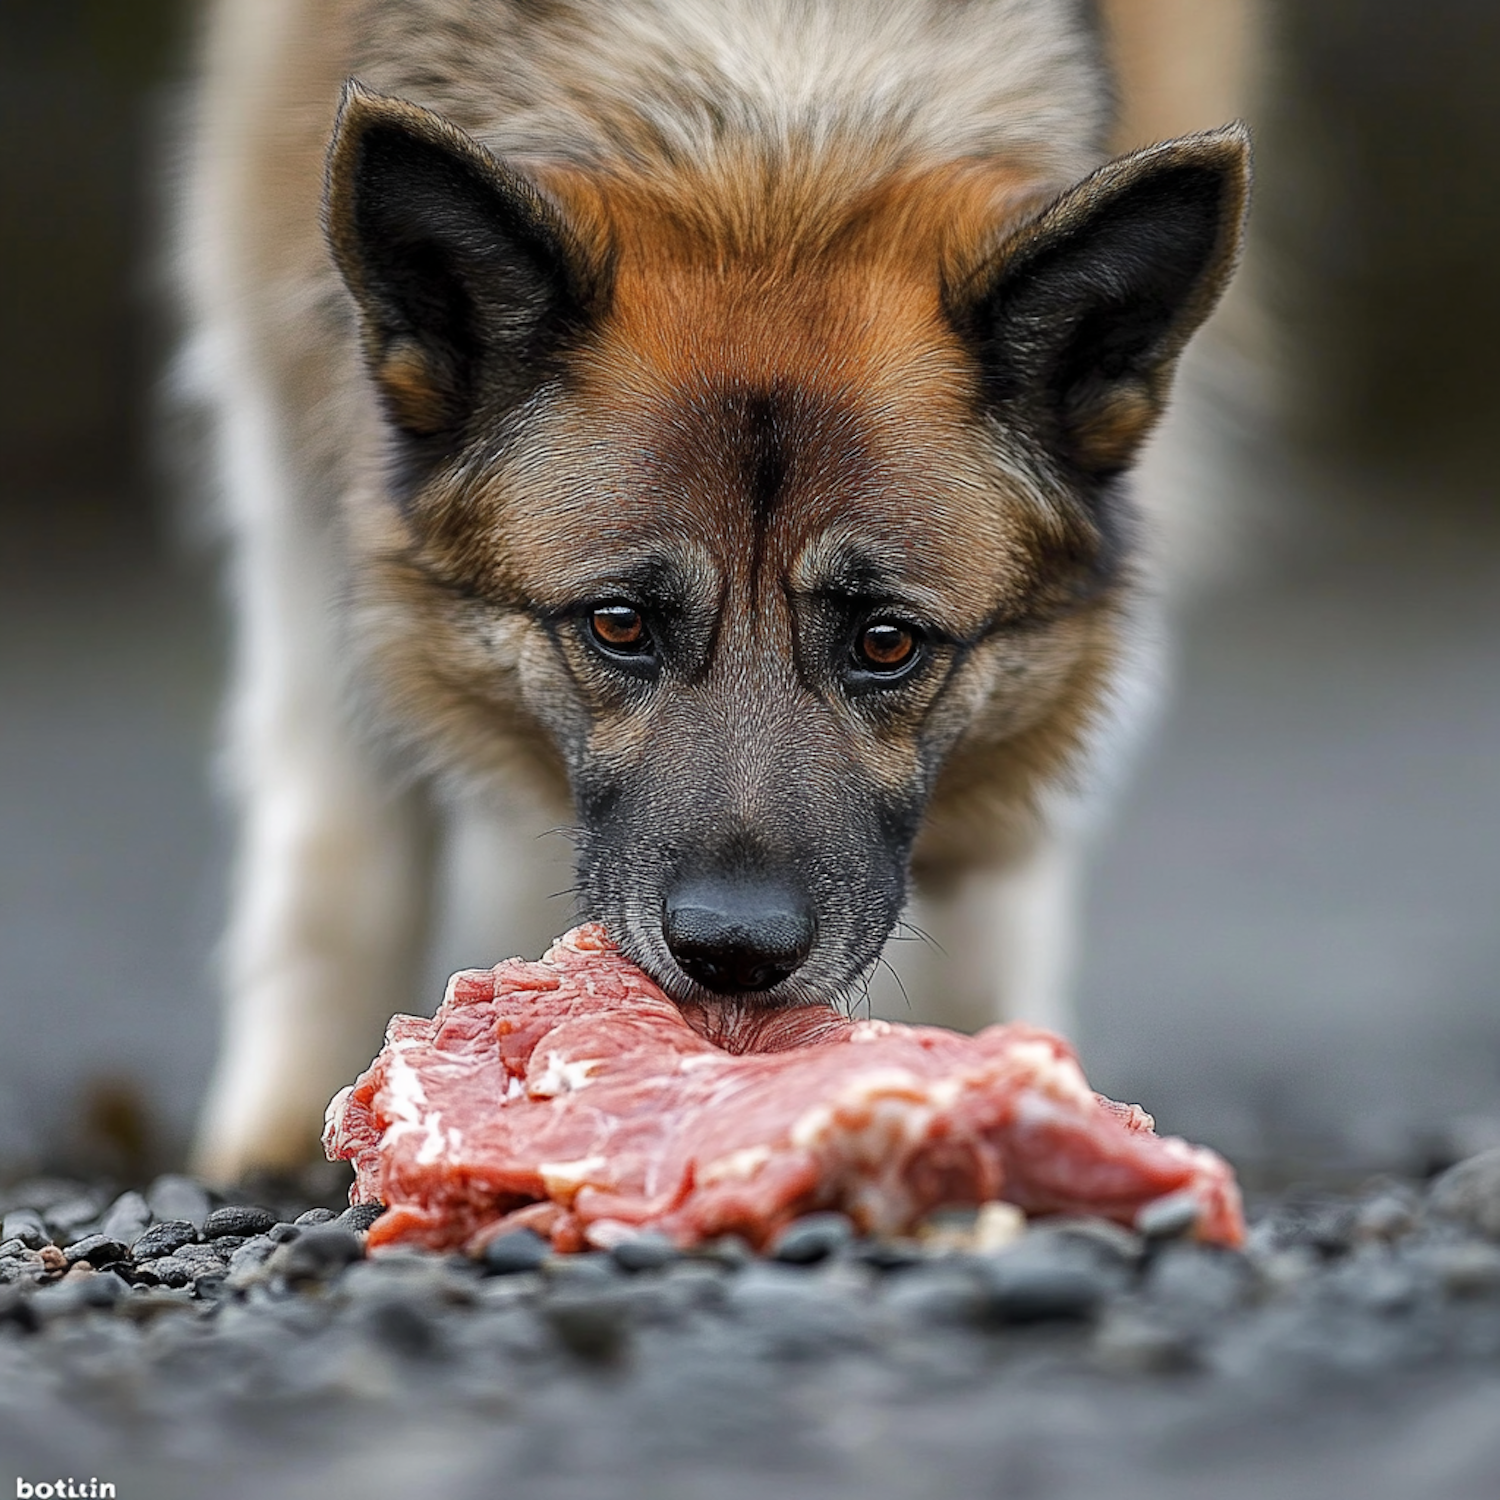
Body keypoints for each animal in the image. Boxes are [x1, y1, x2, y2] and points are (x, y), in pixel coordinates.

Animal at [175, 0, 1254, 1176]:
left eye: (887, 642)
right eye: (619, 625)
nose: (736, 955)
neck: (775, 149)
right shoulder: (294, 476)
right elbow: (342, 849)